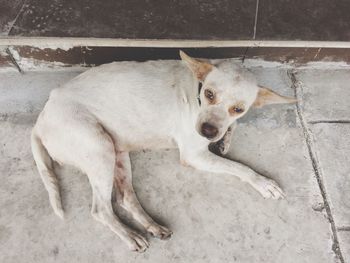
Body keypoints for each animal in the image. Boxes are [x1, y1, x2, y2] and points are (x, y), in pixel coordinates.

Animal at [31, 51, 296, 252]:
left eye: (238, 109)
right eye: (209, 94)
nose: (207, 131)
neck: (197, 88)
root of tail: (42, 117)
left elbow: (233, 126)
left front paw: (226, 138)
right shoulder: (194, 156)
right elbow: (240, 167)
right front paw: (263, 183)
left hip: (117, 152)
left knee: (125, 199)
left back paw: (152, 226)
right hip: (99, 149)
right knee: (101, 210)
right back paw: (130, 235)